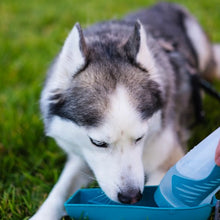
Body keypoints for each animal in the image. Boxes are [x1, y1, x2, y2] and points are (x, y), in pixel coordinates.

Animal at [29, 2, 220, 220]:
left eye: (140, 137)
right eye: (98, 143)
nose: (131, 197)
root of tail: (164, 4)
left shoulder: (167, 157)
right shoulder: (80, 155)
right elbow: (60, 190)